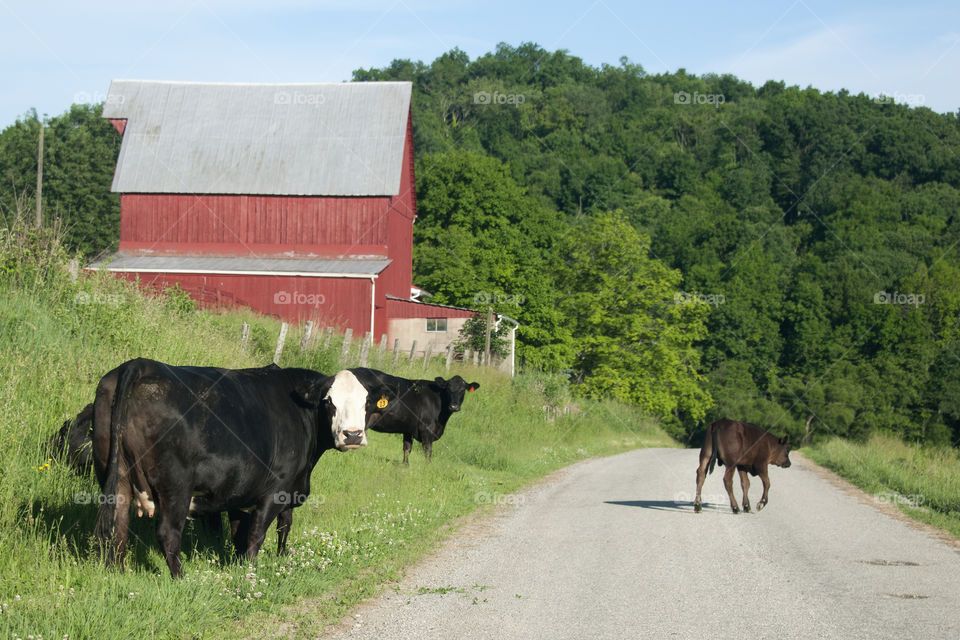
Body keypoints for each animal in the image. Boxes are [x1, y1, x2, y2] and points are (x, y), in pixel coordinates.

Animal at [93, 358, 386, 576]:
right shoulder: (277, 488)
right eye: (328, 401)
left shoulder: (242, 492)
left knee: (116, 529)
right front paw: (249, 571)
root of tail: (141, 363)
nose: (352, 435)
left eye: (366, 403)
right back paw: (182, 578)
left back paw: (115, 575)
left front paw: (269, 559)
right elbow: (258, 533)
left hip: (116, 478)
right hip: (175, 487)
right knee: (167, 533)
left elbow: (261, 529)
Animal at [348, 368, 480, 462]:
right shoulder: (427, 429)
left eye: (463, 390)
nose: (454, 406)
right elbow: (428, 451)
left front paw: (405, 466)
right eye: (448, 389)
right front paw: (428, 468)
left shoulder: (408, 428)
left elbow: (407, 448)